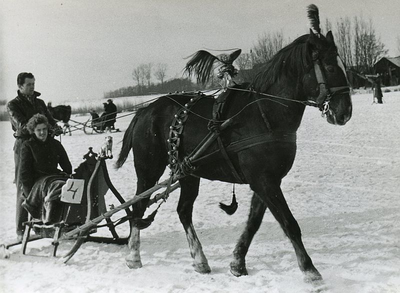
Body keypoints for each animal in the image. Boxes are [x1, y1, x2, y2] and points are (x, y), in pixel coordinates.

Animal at [115, 5, 350, 282]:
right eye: (330, 67)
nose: (345, 112)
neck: (264, 113)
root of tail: (145, 111)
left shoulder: (267, 179)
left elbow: (254, 222)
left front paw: (238, 262)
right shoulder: (264, 180)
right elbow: (289, 223)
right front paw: (310, 270)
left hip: (188, 172)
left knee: (183, 210)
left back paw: (200, 260)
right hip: (149, 168)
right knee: (139, 206)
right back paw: (133, 256)